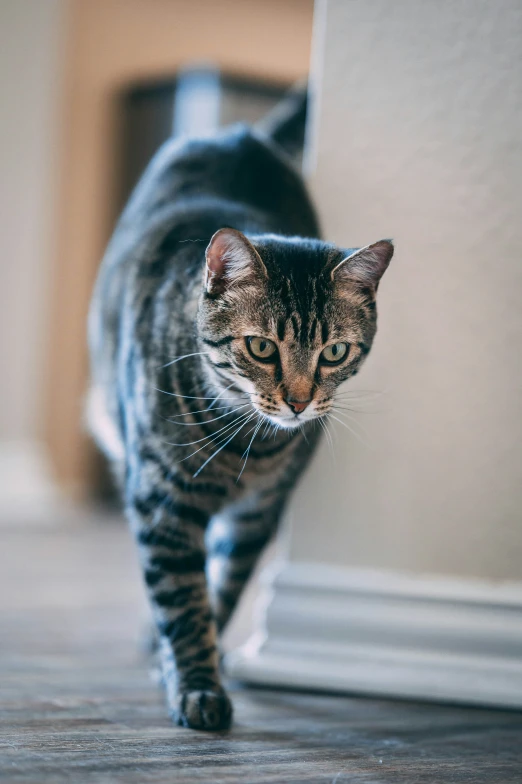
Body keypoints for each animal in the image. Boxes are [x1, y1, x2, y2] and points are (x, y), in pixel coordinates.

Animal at [87, 89, 392, 732]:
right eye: (261, 348)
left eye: (334, 352)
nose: (299, 402)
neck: (245, 446)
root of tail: (240, 133)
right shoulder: (161, 501)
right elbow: (183, 599)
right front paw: (197, 686)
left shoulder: (259, 513)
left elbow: (221, 590)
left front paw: (193, 664)